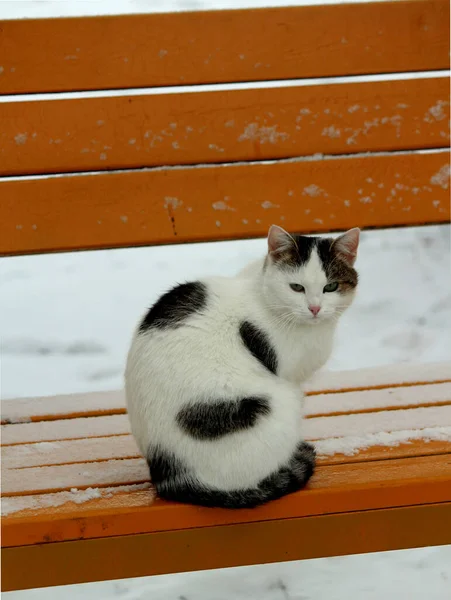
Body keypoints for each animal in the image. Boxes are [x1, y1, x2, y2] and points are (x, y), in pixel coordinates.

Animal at [126, 224, 360, 506]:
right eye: (296, 287)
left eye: (330, 287)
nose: (314, 308)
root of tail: (168, 476)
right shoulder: (290, 375)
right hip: (279, 403)